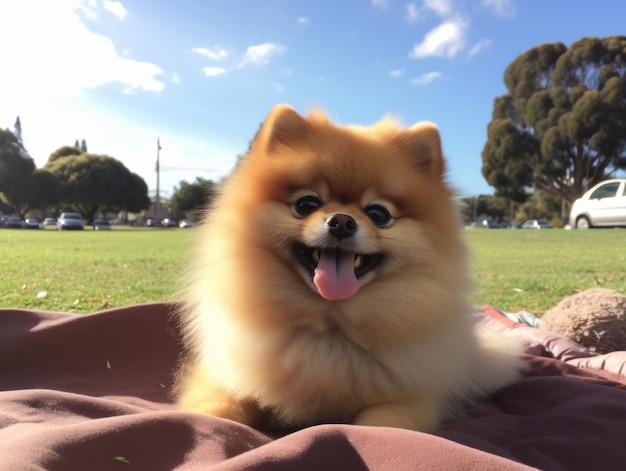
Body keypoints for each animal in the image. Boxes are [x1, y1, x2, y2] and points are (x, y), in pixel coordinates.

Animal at [176, 105, 520, 434]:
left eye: (378, 214)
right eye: (306, 204)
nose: (342, 221)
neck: (330, 328)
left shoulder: (410, 399)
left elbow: (381, 425)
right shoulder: (224, 375)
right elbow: (216, 411)